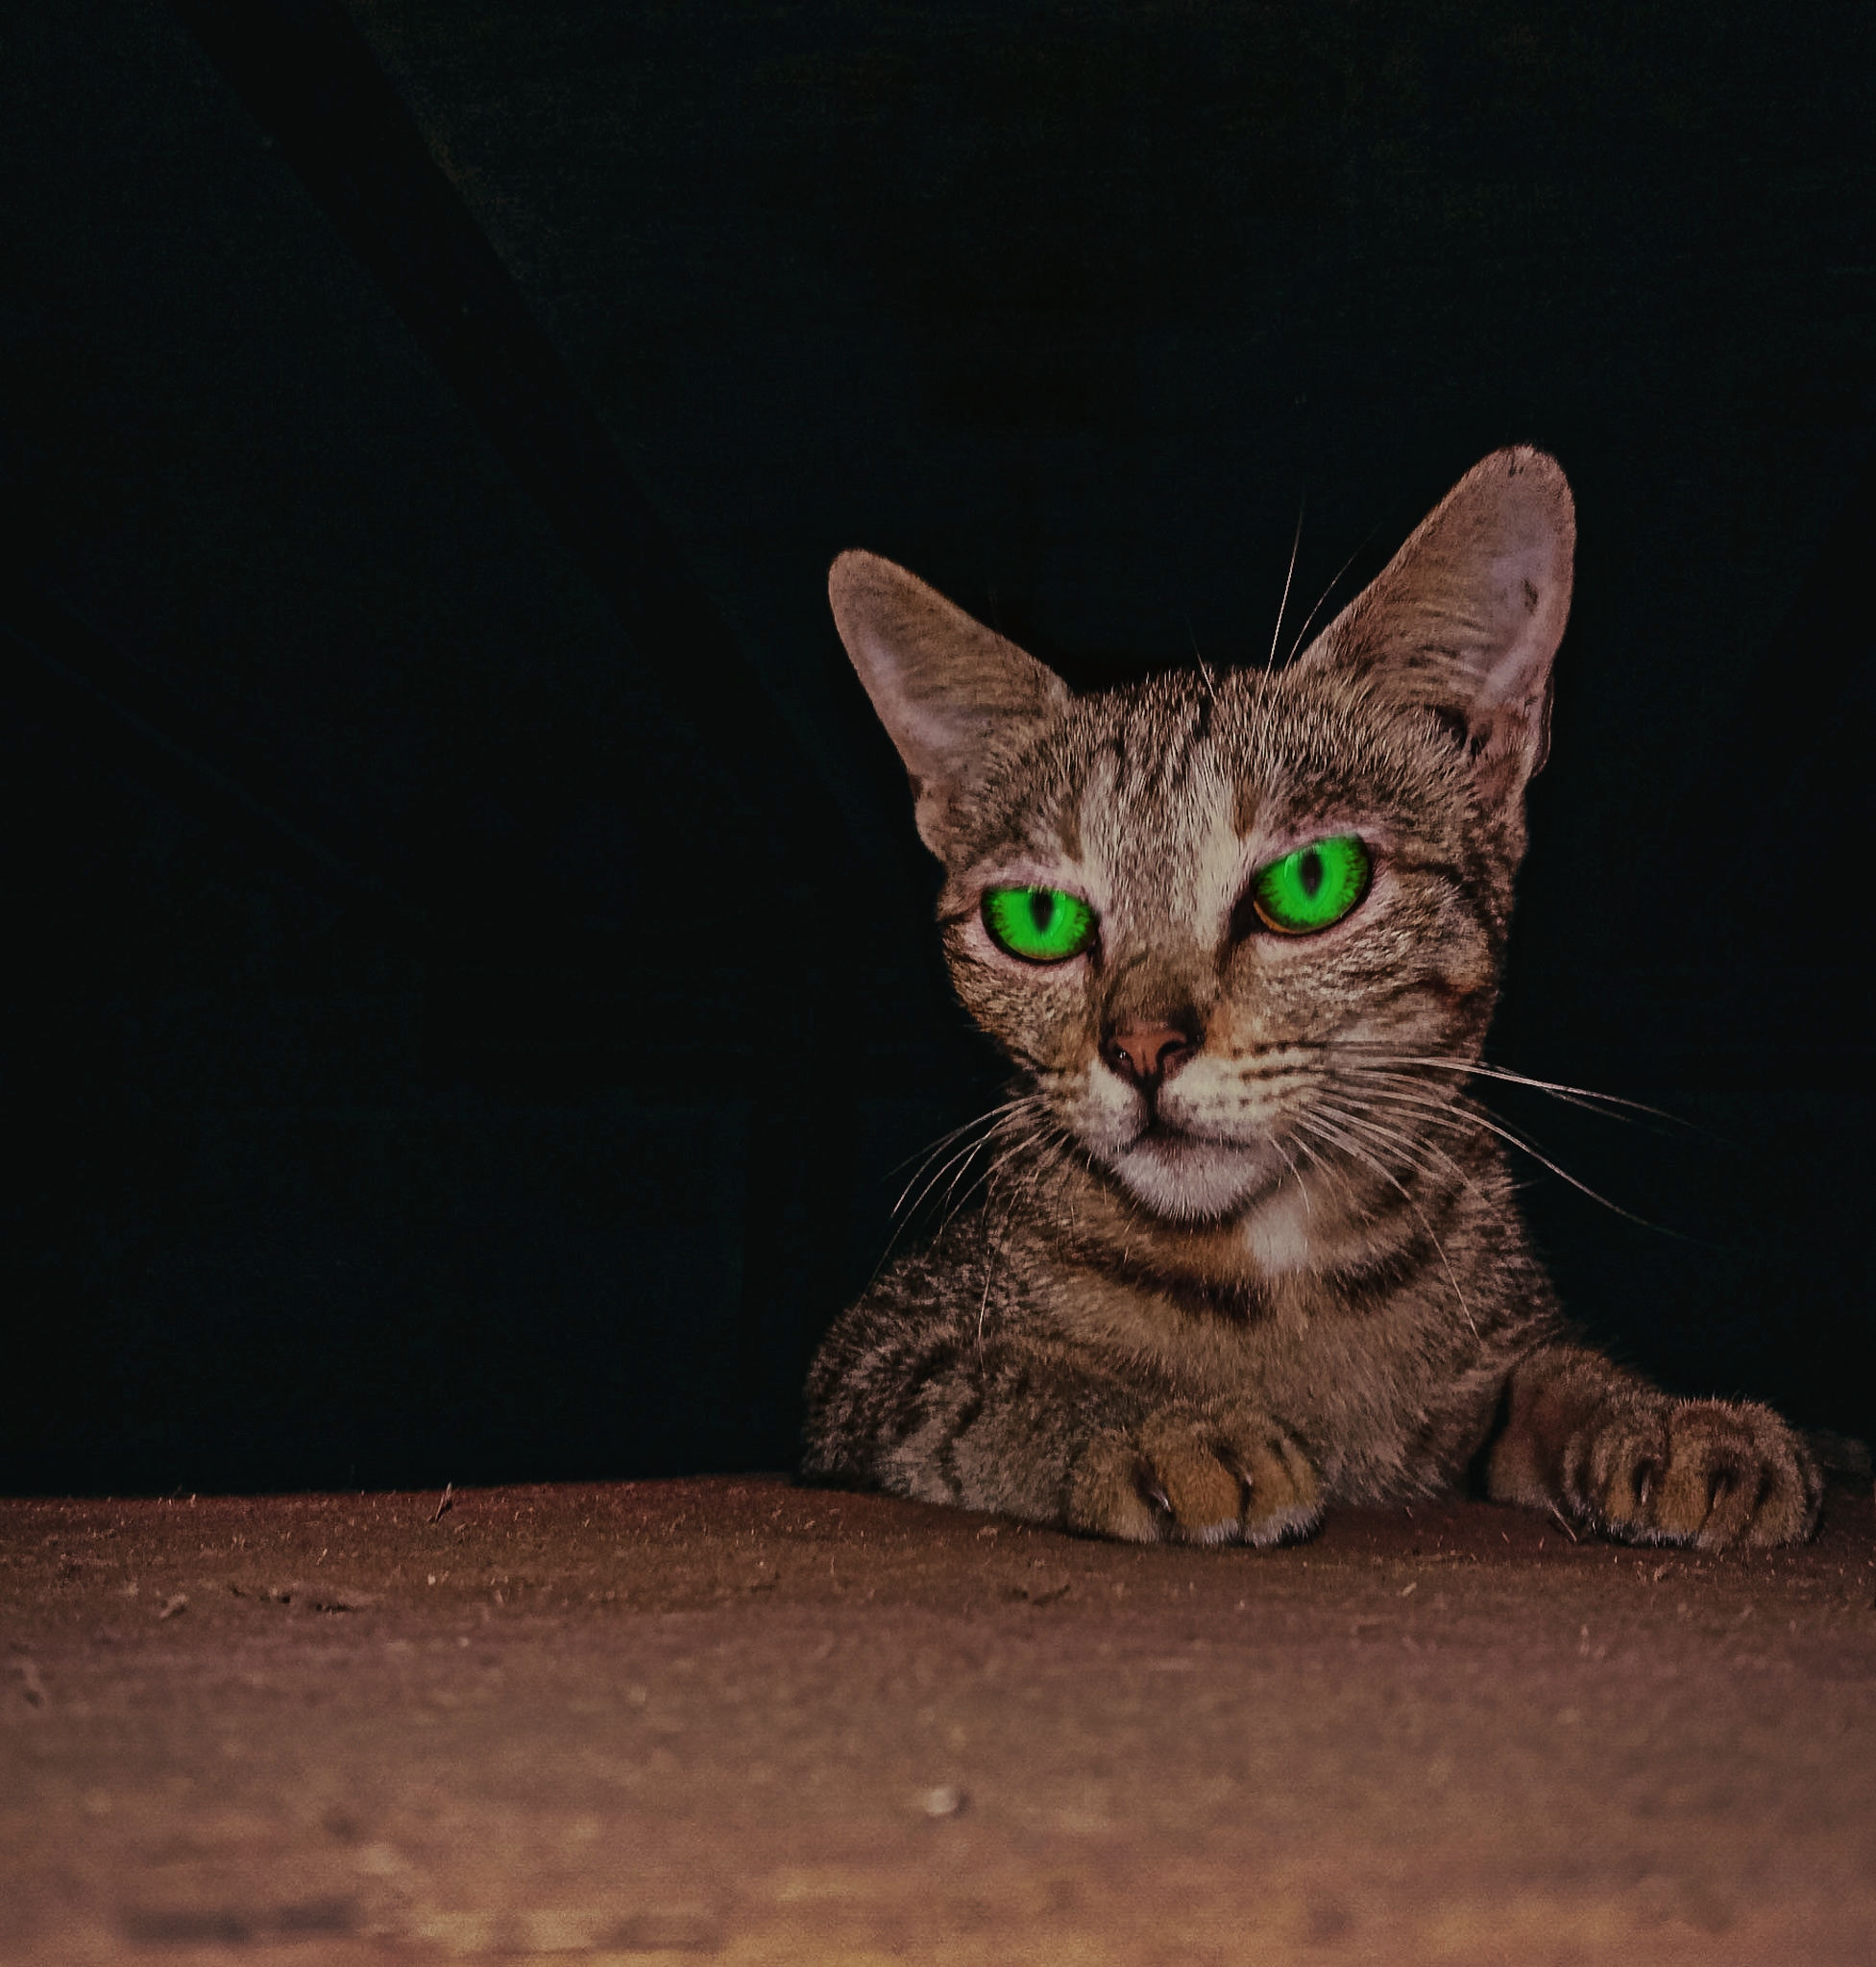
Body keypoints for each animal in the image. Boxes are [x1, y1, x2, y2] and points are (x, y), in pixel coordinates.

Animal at [802, 449, 1816, 1549]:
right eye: (1037, 916)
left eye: (1311, 880)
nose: (1143, 1046)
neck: (1282, 1266)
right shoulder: (873, 1359)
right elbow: (986, 1380)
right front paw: (1160, 1426)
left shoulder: (1493, 1373)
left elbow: (1556, 1370)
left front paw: (1674, 1419)